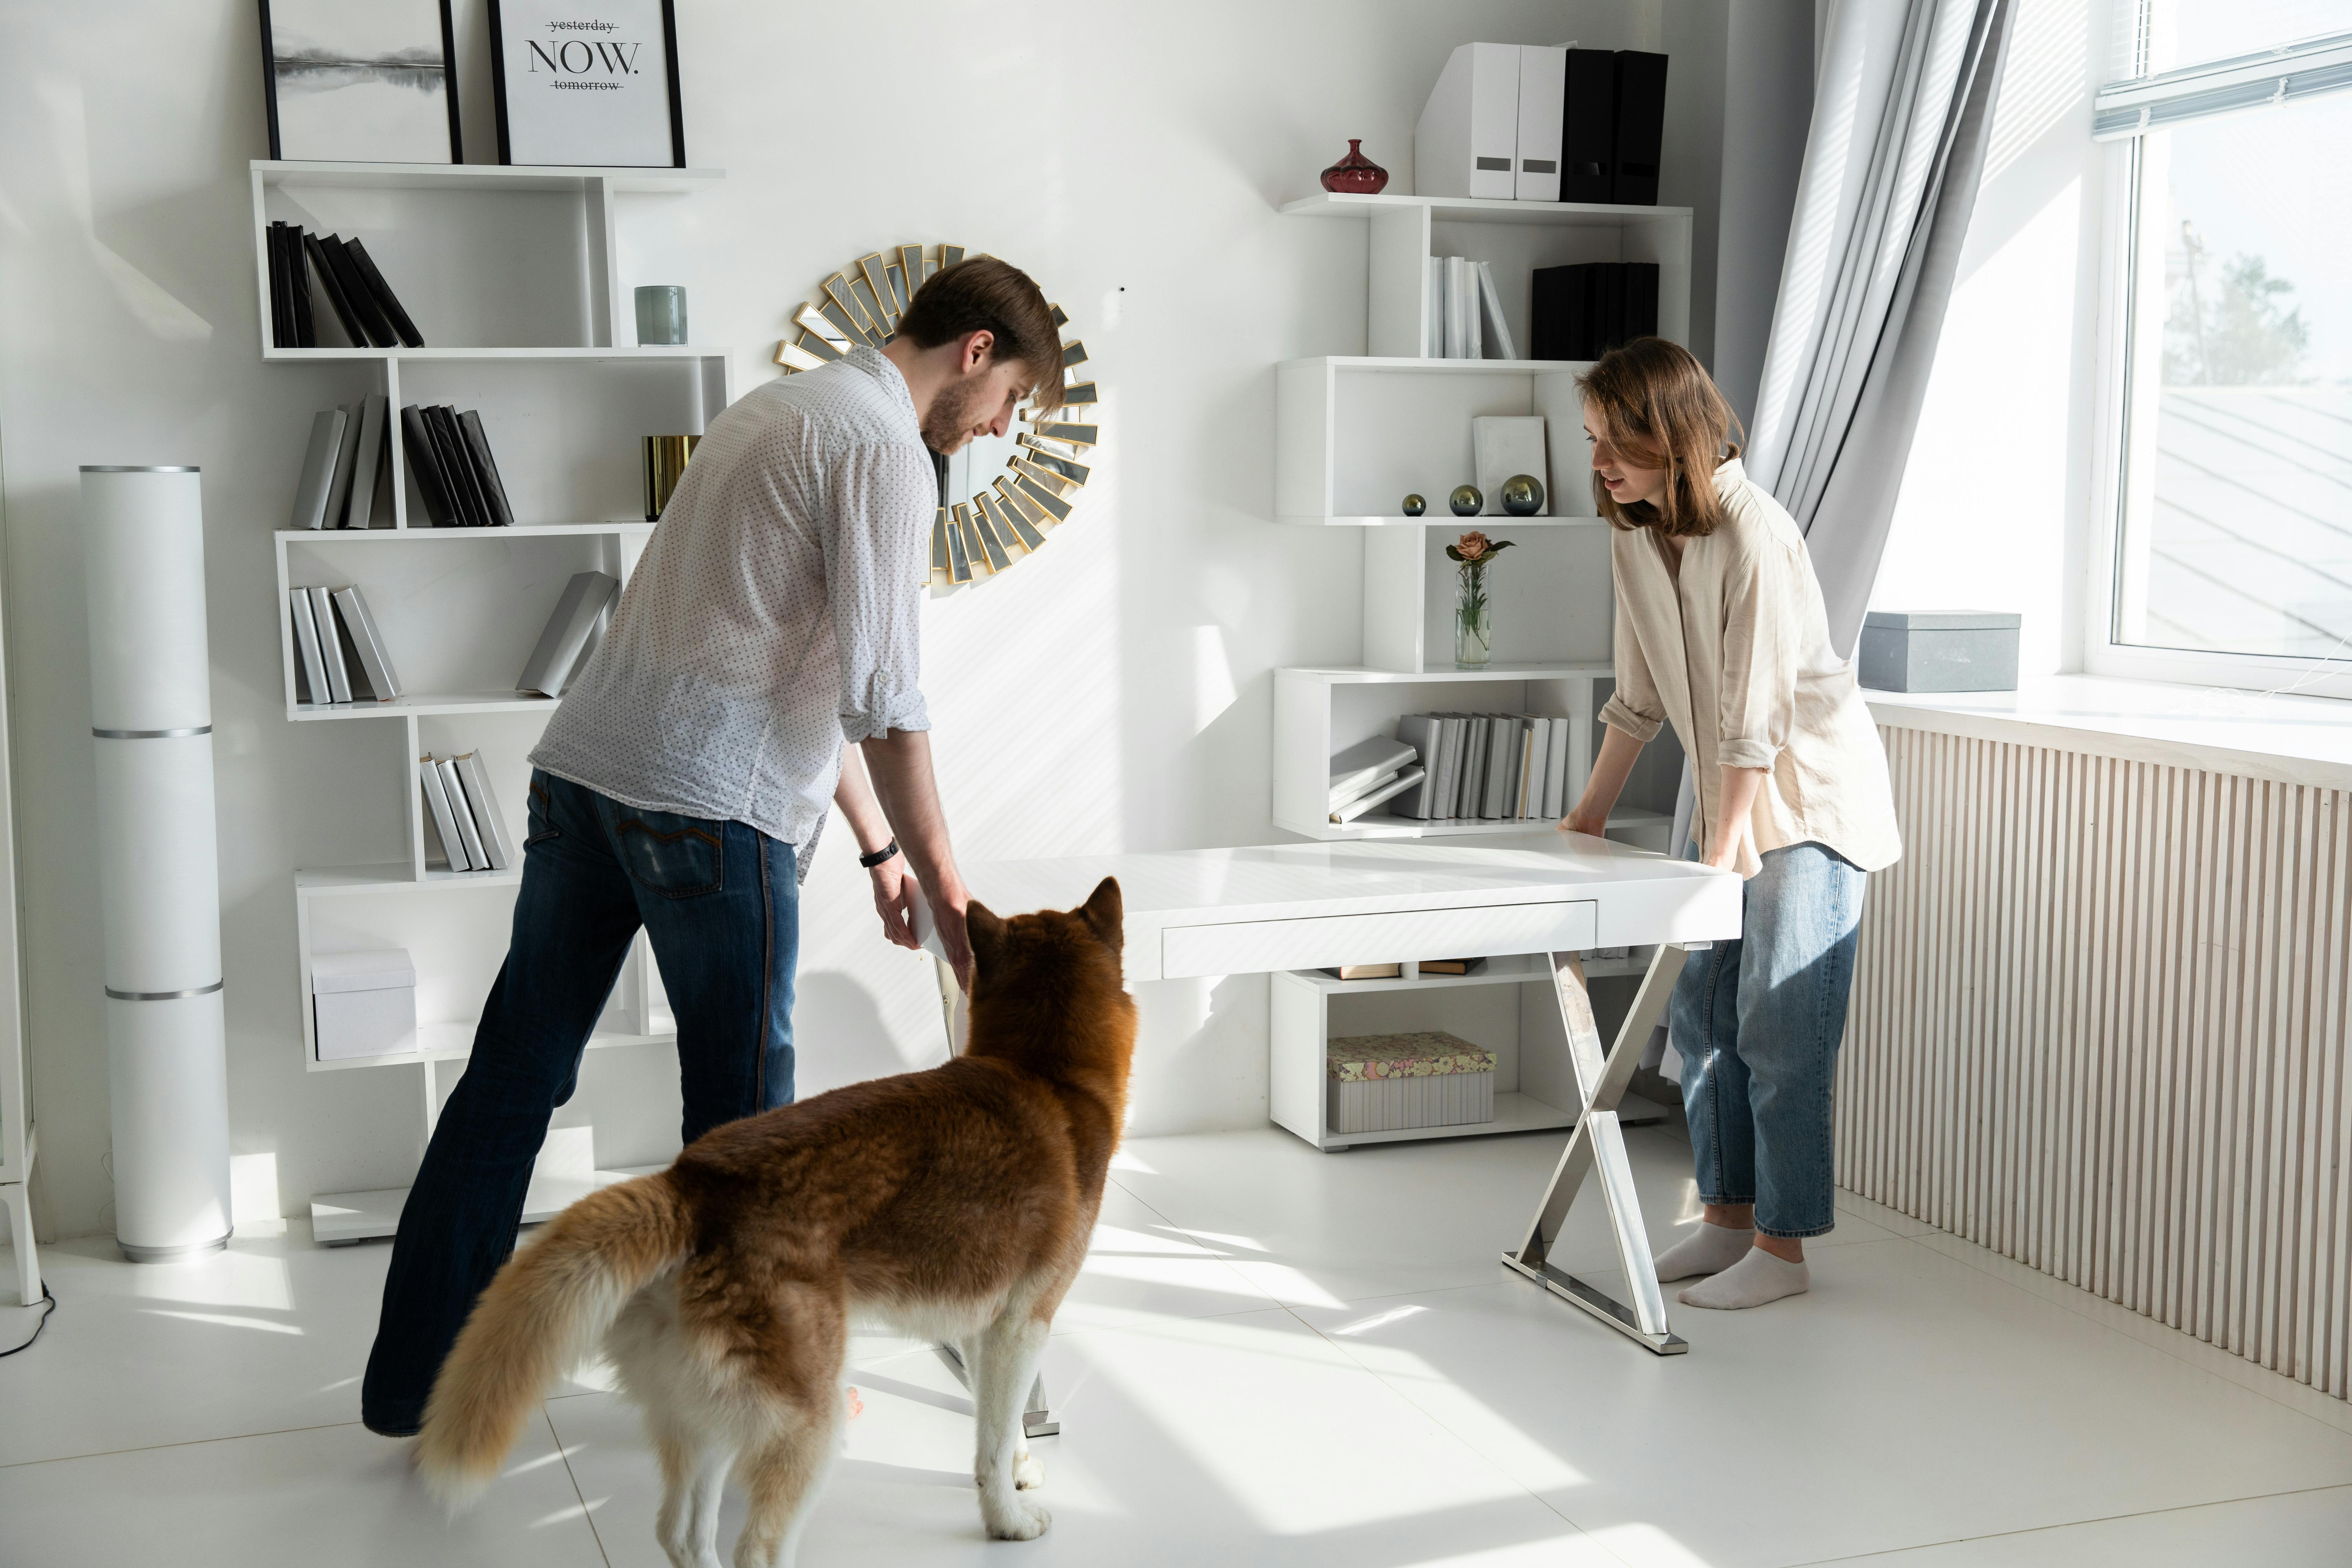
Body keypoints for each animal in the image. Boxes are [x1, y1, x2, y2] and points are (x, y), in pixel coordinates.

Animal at [421, 884, 1138, 1568]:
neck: (1046, 1072)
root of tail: (693, 1186)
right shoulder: (1022, 1324)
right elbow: (991, 1443)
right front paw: (1008, 1519)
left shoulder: (987, 1329)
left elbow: (1003, 1422)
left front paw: (1020, 1469)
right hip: (806, 1420)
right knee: (757, 1551)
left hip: (705, 1416)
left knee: (681, 1536)